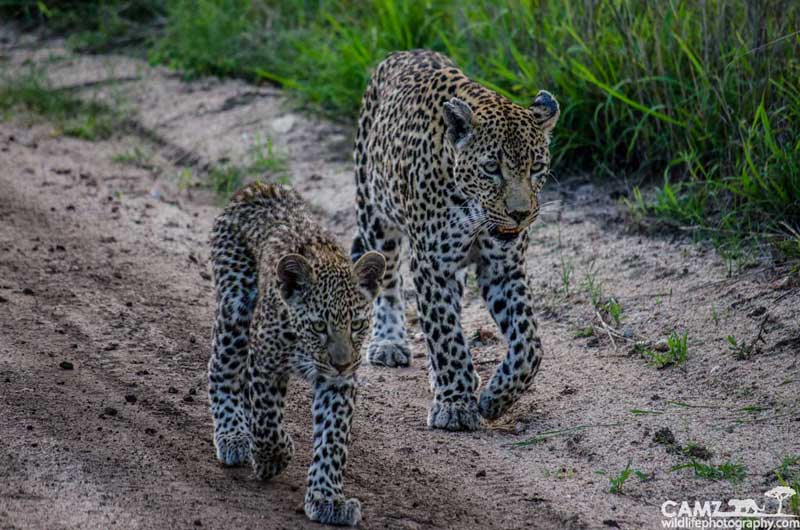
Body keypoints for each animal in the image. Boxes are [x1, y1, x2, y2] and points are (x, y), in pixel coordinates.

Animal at [208, 182, 385, 526]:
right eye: (319, 326)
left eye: (357, 325)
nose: (342, 363)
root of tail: (259, 187)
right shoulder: (265, 364)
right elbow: (267, 421)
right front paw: (272, 458)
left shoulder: (338, 384)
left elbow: (332, 440)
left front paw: (327, 499)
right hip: (235, 303)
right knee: (222, 368)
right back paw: (233, 436)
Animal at [351, 50, 560, 431]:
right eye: (492, 168)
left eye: (536, 168)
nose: (520, 214)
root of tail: (402, 53)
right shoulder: (433, 265)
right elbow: (445, 335)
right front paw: (455, 406)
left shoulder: (504, 268)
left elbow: (528, 344)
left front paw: (496, 398)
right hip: (374, 213)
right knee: (388, 283)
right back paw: (389, 343)